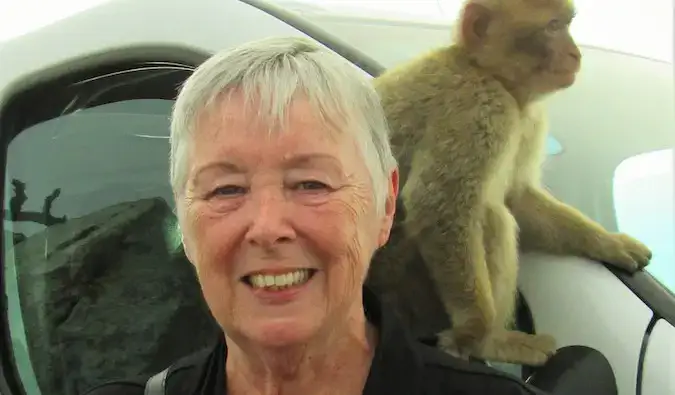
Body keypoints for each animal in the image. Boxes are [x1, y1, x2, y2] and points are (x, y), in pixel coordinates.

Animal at [370, 0, 656, 366]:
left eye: (566, 24)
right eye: (552, 27)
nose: (575, 54)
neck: (486, 72)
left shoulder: (528, 118)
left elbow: (518, 196)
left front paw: (608, 242)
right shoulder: (481, 106)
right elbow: (439, 204)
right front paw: (476, 333)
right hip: (398, 281)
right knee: (491, 216)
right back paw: (494, 342)